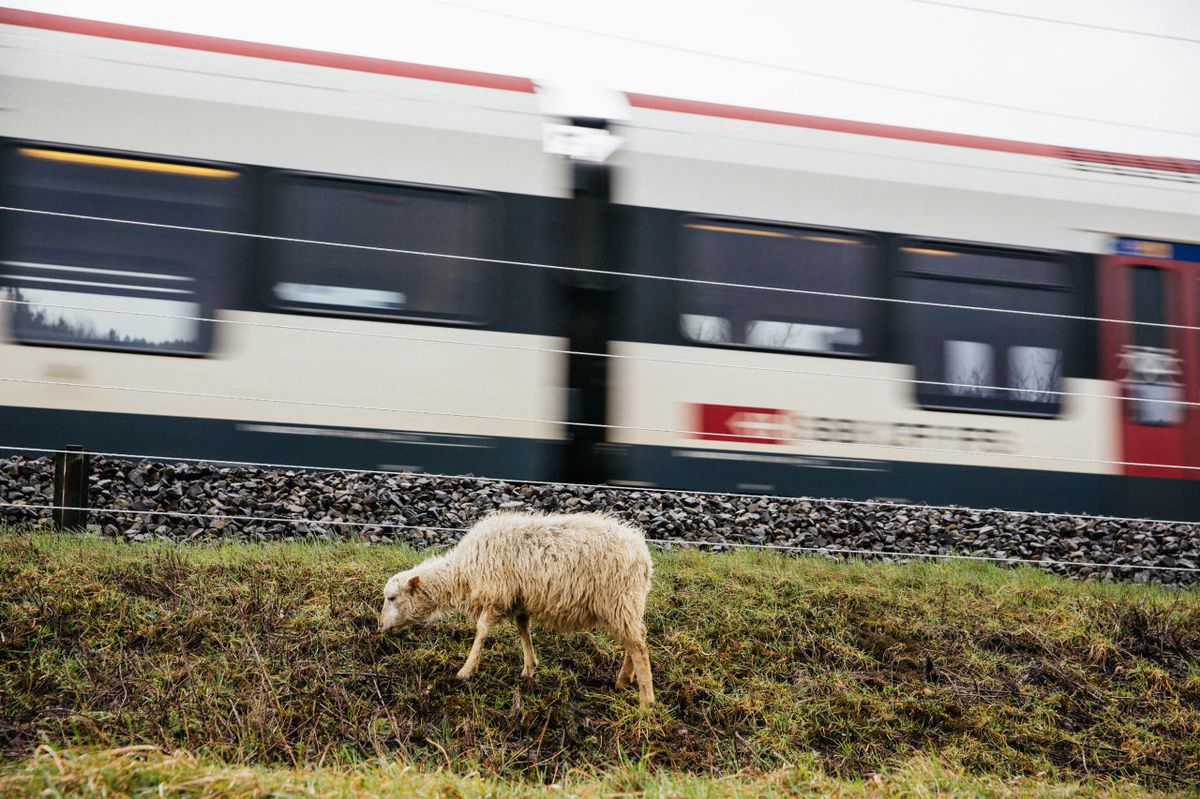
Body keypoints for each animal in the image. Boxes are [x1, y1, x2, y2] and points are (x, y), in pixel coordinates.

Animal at [379, 510, 655, 706]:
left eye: (391, 598)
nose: (382, 627)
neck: (462, 573)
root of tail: (644, 554)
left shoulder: (497, 595)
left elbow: (481, 631)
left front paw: (466, 671)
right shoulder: (519, 599)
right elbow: (523, 629)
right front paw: (529, 668)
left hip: (618, 600)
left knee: (639, 647)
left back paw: (646, 702)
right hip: (627, 603)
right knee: (637, 636)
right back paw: (623, 681)